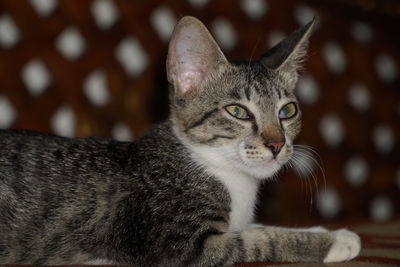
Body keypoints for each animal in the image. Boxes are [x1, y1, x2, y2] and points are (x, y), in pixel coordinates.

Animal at [0, 16, 360, 266]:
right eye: (237, 111)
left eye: (287, 111)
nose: (276, 144)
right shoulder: (178, 245)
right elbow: (257, 238)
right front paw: (335, 240)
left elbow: (255, 226)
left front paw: (319, 231)